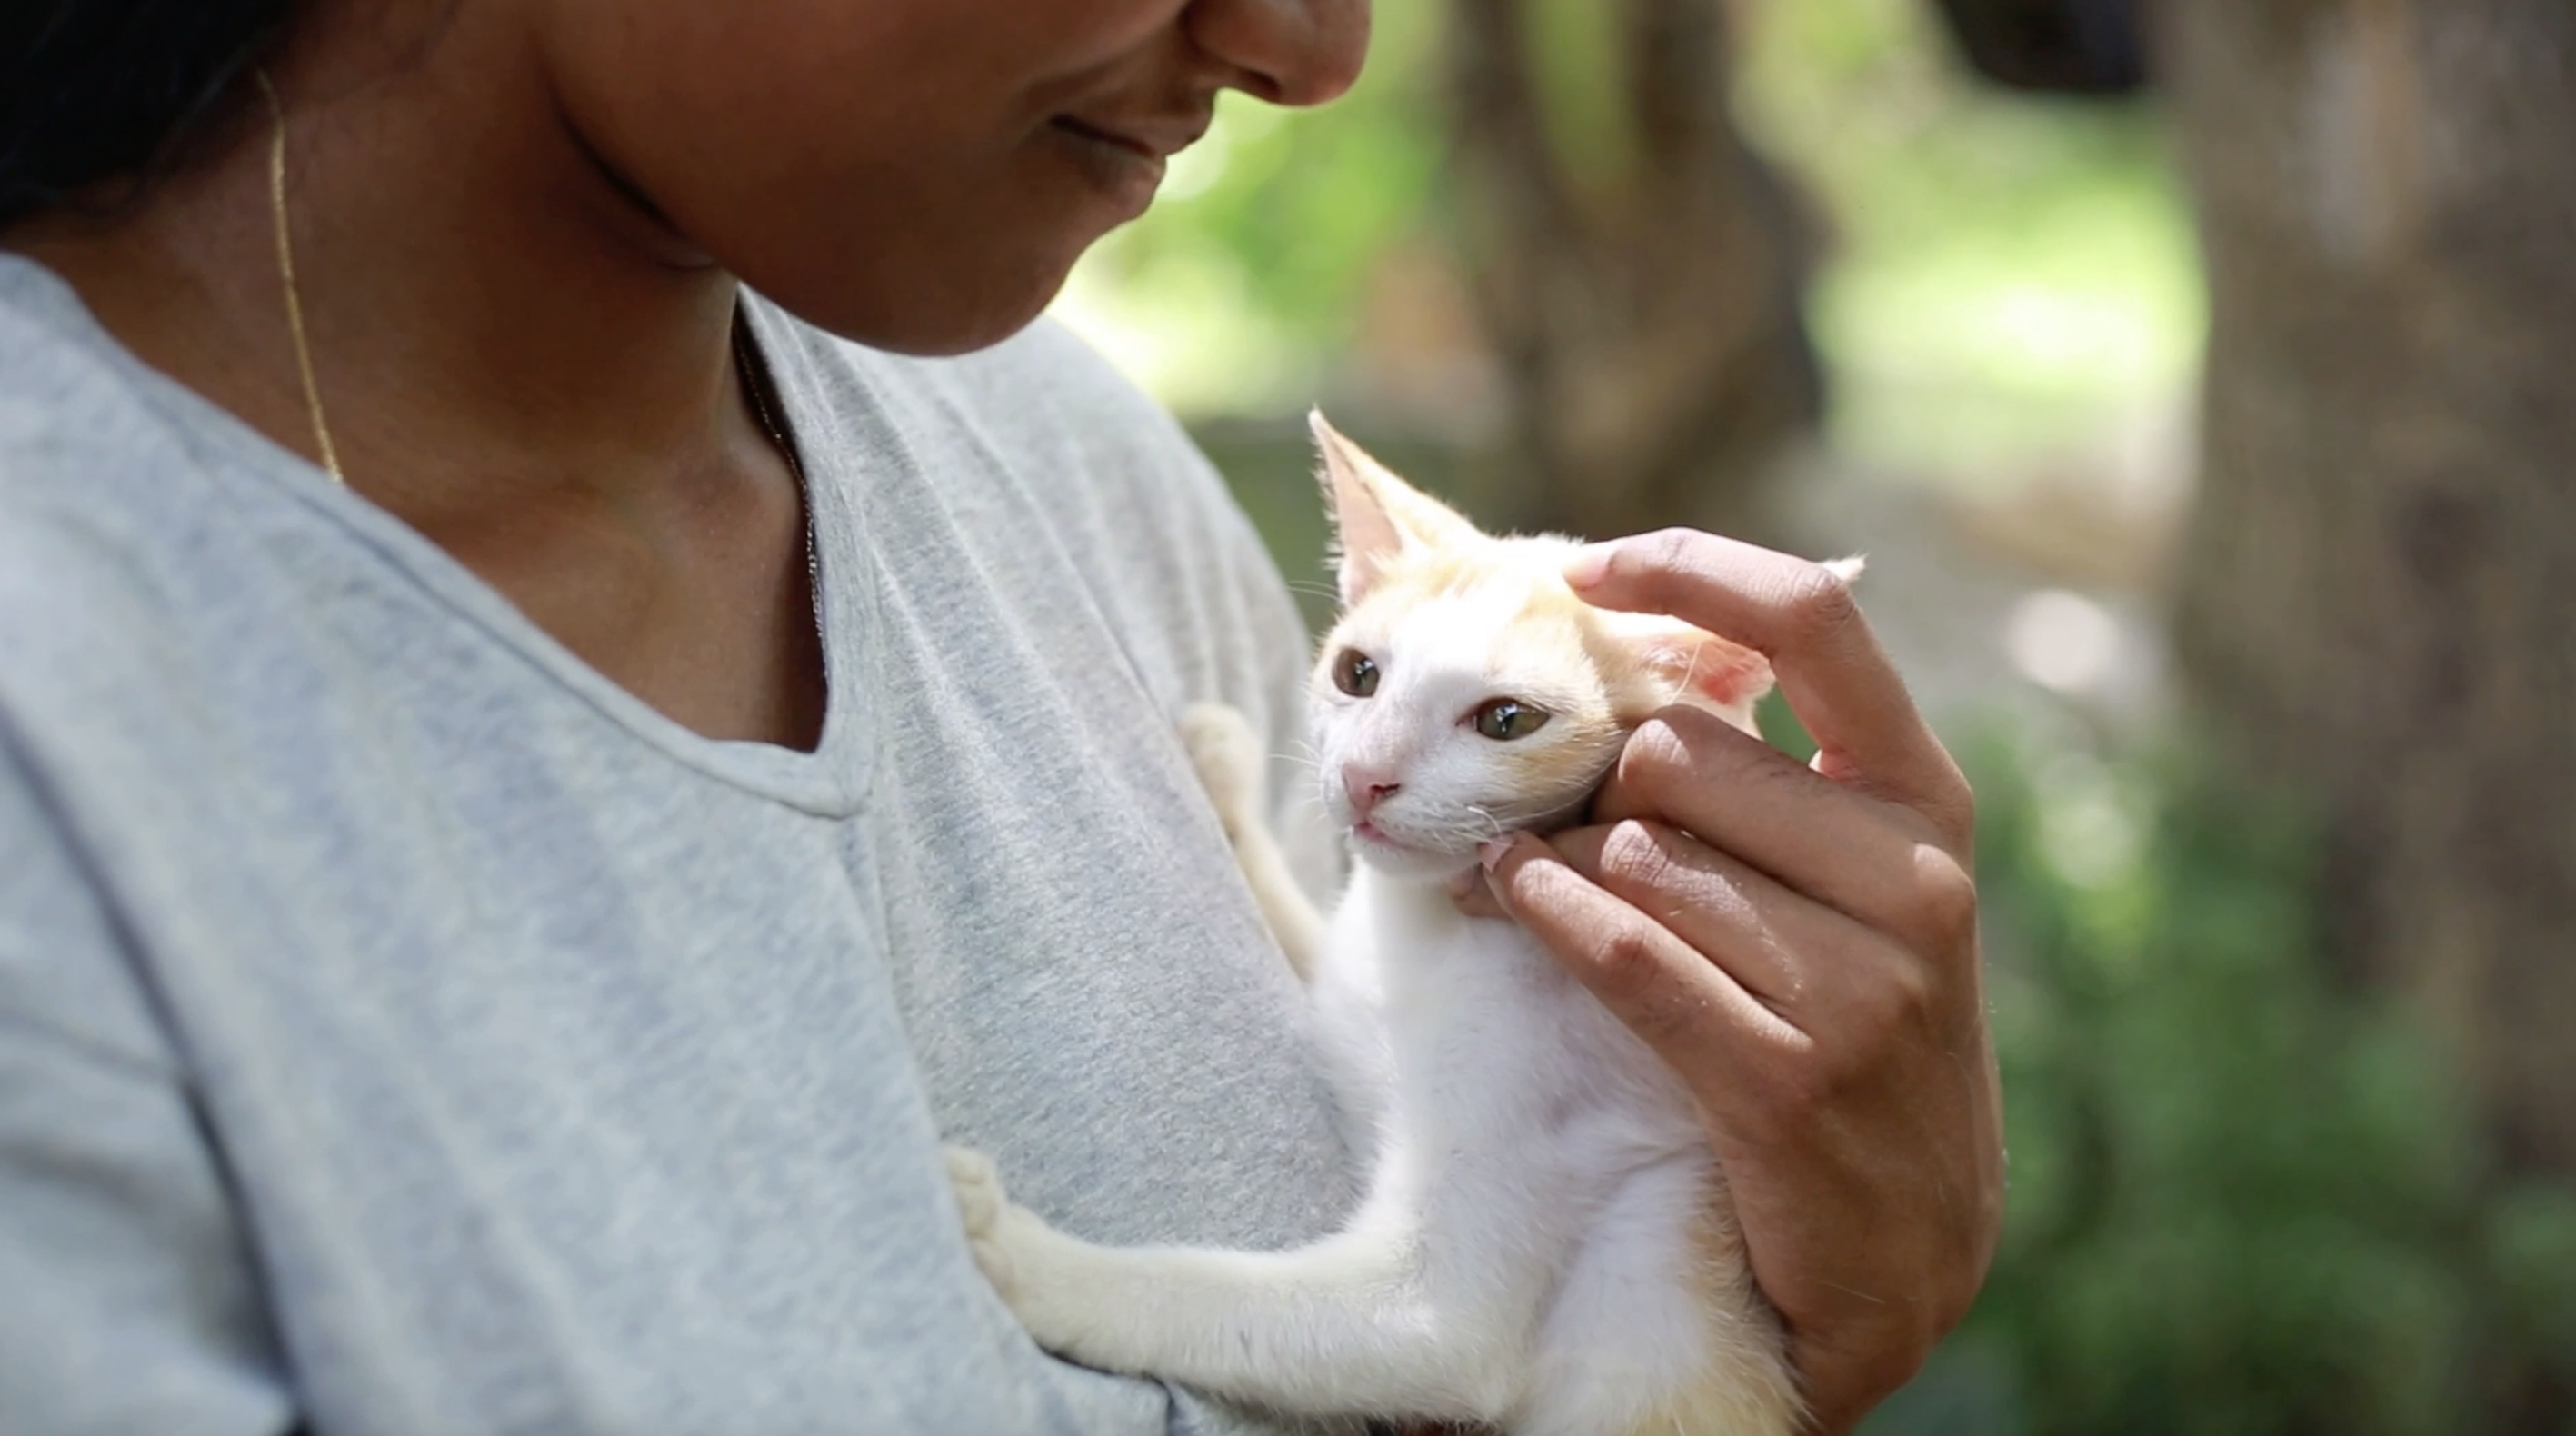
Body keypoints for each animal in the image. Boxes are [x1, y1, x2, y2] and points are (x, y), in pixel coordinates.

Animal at [953, 416, 1854, 1436]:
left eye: (1506, 720)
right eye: (1358, 674)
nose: (1363, 778)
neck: (1432, 936)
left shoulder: (1444, 1301)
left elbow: (1228, 1299)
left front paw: (1021, 1253)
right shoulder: (1349, 984)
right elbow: (1309, 937)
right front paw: (1228, 794)